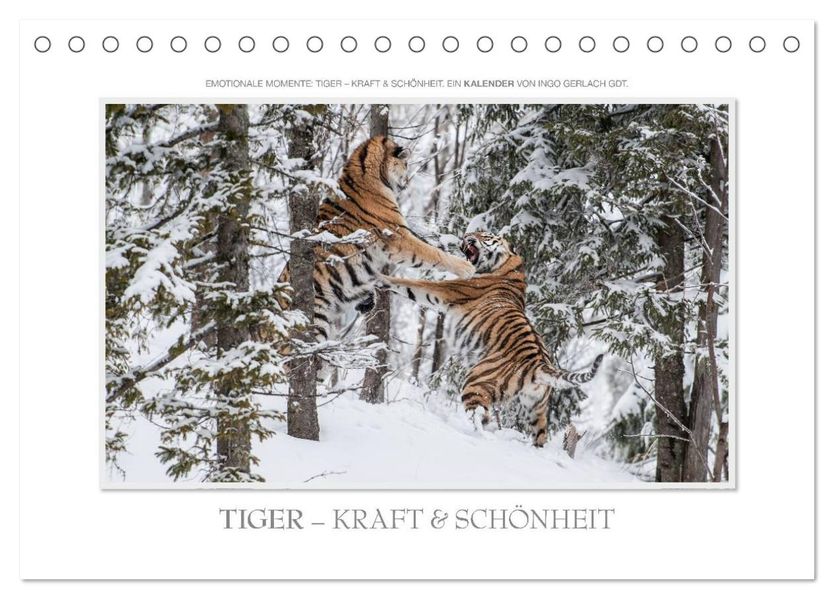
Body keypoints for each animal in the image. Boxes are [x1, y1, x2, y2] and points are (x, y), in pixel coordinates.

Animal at [380, 231, 603, 447]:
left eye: (483, 235)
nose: (465, 238)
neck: (509, 266)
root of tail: (540, 363)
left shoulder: (448, 289)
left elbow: (411, 284)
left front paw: (380, 277)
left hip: (476, 382)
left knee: (480, 417)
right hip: (537, 408)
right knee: (539, 435)